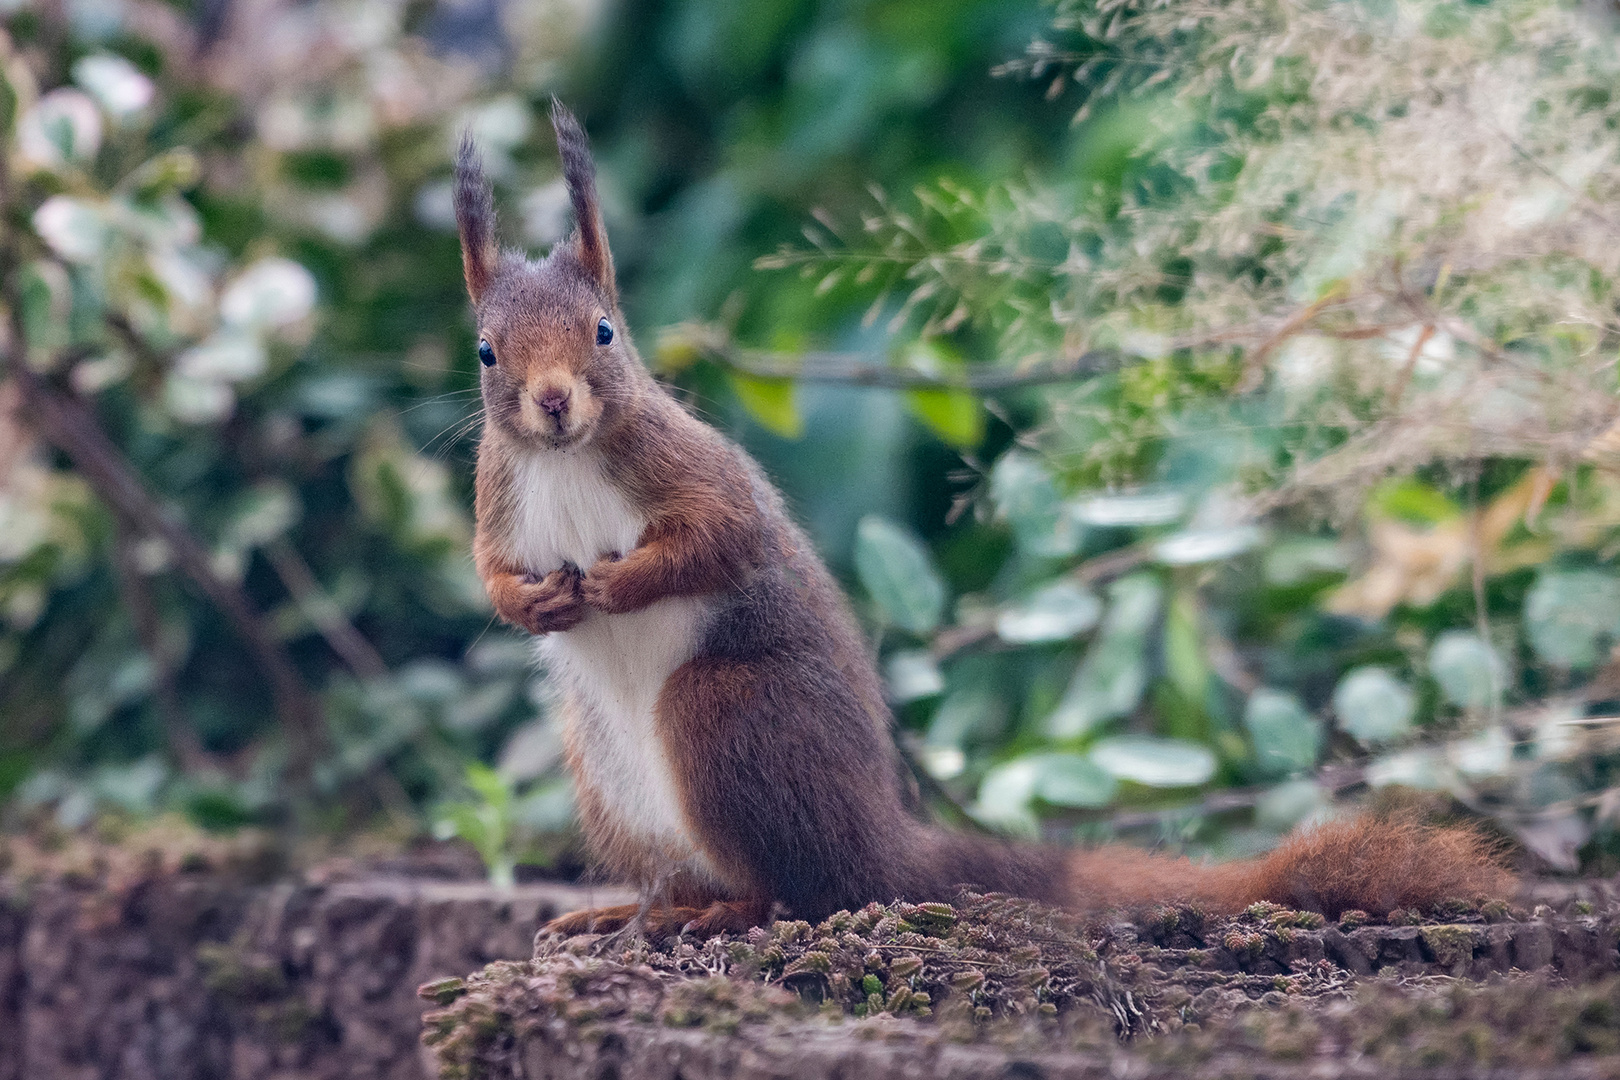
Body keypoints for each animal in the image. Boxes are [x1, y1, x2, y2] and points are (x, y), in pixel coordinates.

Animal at [453, 105, 1503, 939]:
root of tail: (884, 839)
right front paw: (534, 604)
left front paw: (621, 580)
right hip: (605, 776)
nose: (554, 403)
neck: (566, 459)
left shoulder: (693, 473)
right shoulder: (497, 501)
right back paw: (631, 909)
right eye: (486, 351)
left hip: (729, 714)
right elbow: (491, 576)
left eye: (604, 333)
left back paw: (723, 908)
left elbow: (723, 539)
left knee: (803, 890)